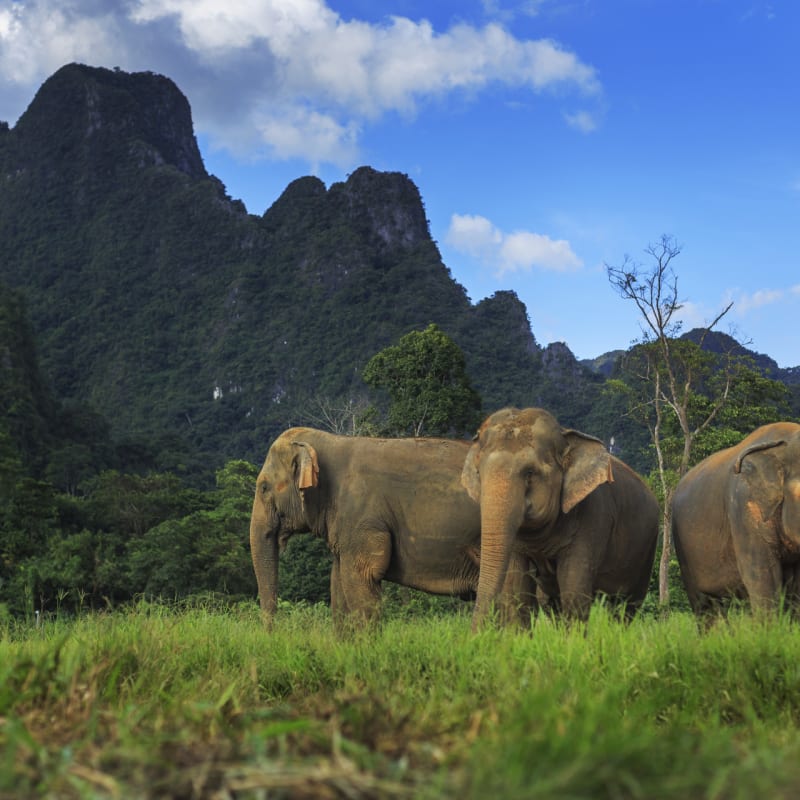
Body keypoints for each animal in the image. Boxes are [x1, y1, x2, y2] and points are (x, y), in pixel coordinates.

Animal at [250, 426, 536, 630]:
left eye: (263, 487)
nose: (272, 634)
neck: (331, 441)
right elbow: (338, 584)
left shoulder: (361, 517)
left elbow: (361, 577)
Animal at [461, 407, 659, 629]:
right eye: (478, 473)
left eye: (530, 472)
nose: (475, 635)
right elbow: (518, 592)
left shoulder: (593, 515)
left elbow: (574, 591)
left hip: (647, 550)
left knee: (625, 605)